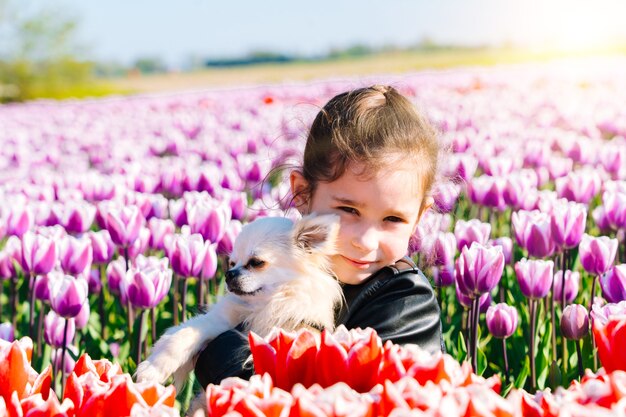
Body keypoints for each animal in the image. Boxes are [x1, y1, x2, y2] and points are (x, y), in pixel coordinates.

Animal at [134, 214, 344, 396]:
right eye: (232, 263)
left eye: (256, 262)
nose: (229, 274)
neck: (265, 307)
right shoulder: (220, 321)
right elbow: (180, 337)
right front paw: (153, 368)